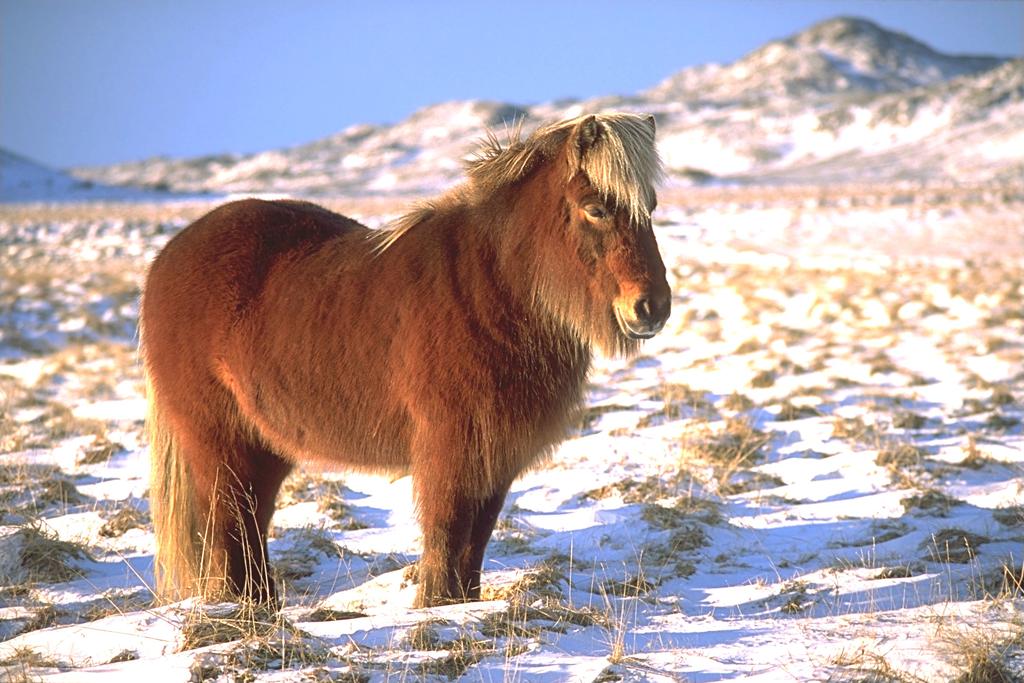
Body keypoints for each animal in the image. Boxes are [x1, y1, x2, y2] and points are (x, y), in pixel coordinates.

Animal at [144, 113, 671, 610]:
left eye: (650, 207)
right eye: (596, 208)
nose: (653, 307)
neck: (491, 287)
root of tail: (169, 255)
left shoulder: (496, 455)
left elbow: (475, 541)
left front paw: (461, 606)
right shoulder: (450, 448)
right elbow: (447, 531)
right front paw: (434, 608)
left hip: (265, 445)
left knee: (251, 521)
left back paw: (261, 604)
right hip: (219, 440)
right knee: (228, 523)